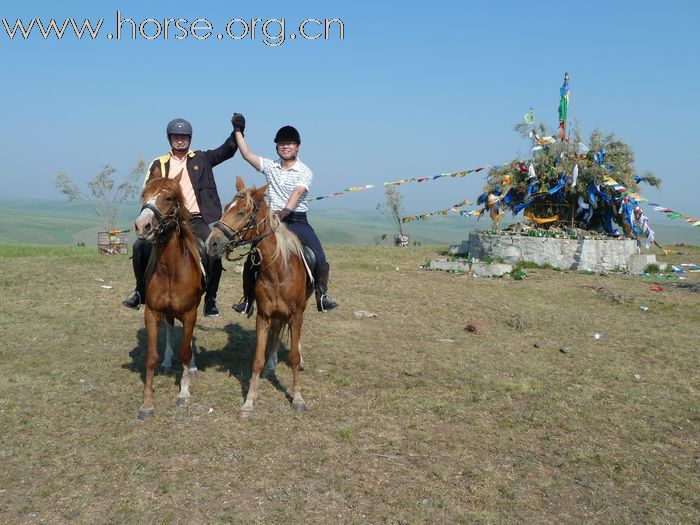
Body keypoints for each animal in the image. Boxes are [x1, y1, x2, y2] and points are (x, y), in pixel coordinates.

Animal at [133, 170, 204, 420]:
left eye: (169, 198)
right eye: (144, 195)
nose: (142, 226)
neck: (171, 269)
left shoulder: (190, 312)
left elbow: (185, 350)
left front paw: (184, 391)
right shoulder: (152, 313)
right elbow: (151, 356)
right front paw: (147, 402)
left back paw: (192, 367)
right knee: (171, 325)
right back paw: (166, 360)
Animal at [204, 176, 310, 418]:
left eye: (242, 212)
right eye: (226, 207)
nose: (211, 244)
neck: (278, 270)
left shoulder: (296, 315)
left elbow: (293, 356)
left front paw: (298, 398)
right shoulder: (263, 316)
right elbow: (257, 360)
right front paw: (249, 402)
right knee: (276, 333)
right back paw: (271, 364)